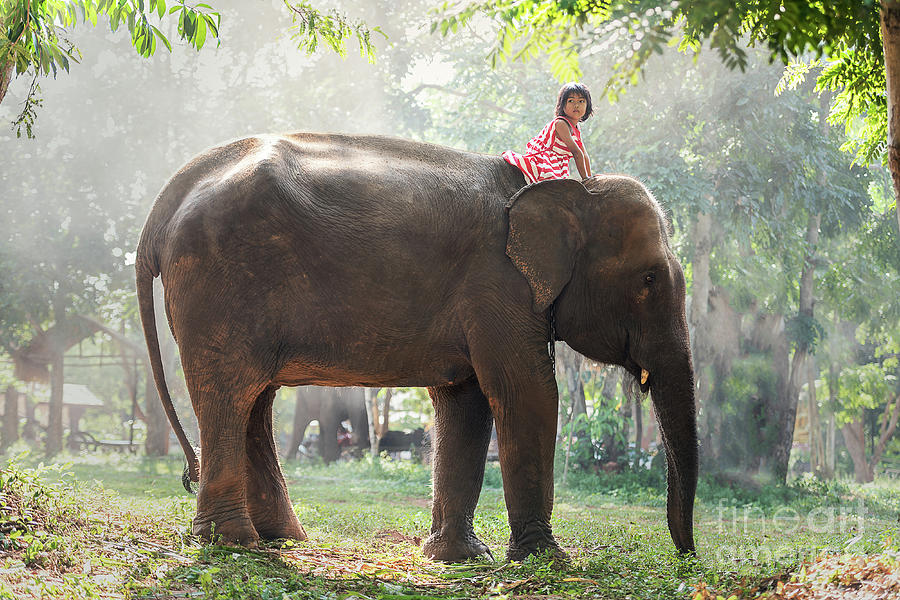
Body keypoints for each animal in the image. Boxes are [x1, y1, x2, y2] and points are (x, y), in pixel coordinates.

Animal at [135, 132, 696, 564]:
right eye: (648, 279)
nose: (686, 557)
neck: (563, 191)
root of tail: (165, 202)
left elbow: (467, 402)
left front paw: (457, 558)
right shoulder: (498, 284)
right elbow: (527, 393)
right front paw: (545, 560)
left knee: (255, 399)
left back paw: (281, 539)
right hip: (220, 284)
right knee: (230, 394)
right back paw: (232, 543)